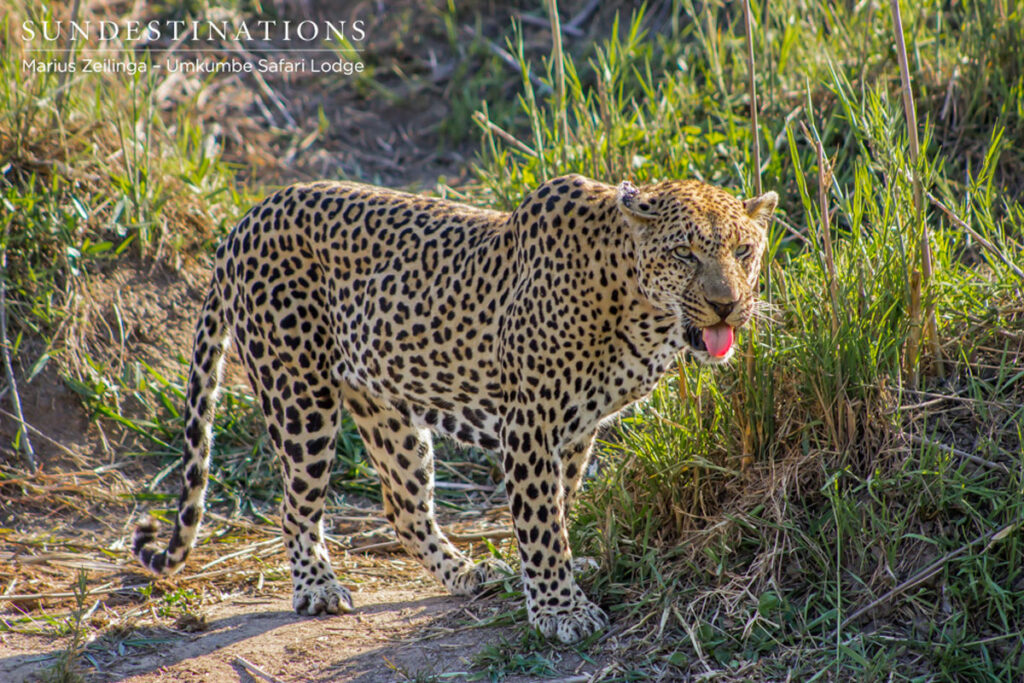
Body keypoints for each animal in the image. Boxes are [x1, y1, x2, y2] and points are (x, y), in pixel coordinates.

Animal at [132, 173, 776, 644]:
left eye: (744, 251)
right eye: (685, 252)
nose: (727, 305)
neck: (640, 312)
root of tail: (244, 221)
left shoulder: (575, 429)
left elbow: (561, 505)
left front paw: (557, 578)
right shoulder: (531, 424)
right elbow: (541, 521)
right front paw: (560, 609)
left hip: (388, 410)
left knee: (403, 506)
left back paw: (471, 574)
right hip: (300, 398)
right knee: (296, 506)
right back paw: (317, 588)